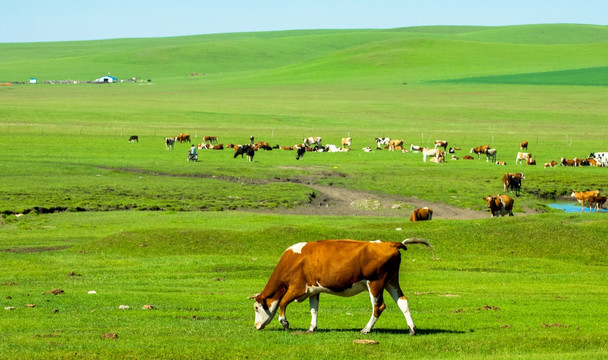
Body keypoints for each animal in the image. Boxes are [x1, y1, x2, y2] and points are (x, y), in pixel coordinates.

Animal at [251, 239, 432, 334]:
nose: (256, 326)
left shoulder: (297, 288)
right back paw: (412, 329)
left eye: (256, 308)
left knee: (378, 306)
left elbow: (282, 303)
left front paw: (285, 323)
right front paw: (312, 328)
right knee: (403, 301)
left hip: (375, 283)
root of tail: (388, 243)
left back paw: (366, 329)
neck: (293, 260)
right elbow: (314, 309)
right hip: (391, 281)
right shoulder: (313, 290)